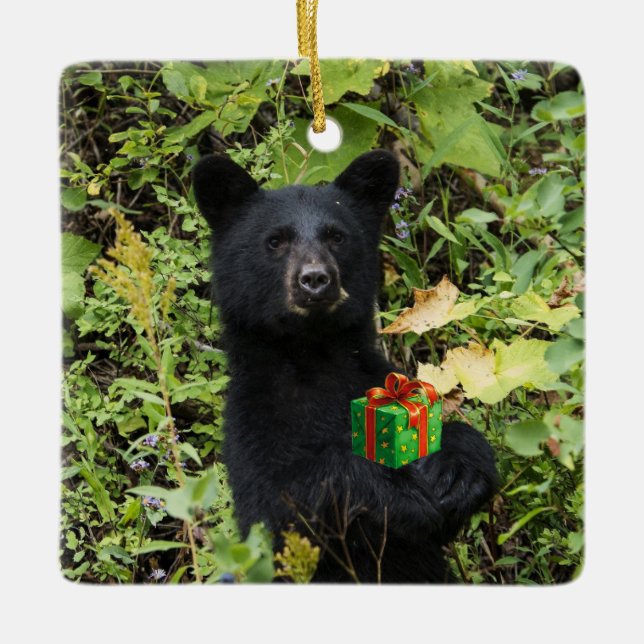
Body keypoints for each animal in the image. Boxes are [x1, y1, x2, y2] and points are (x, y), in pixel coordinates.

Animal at [192, 150, 498, 583]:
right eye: (275, 240)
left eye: (336, 236)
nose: (316, 279)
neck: (312, 355)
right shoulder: (255, 426)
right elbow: (287, 497)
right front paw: (396, 493)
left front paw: (455, 470)